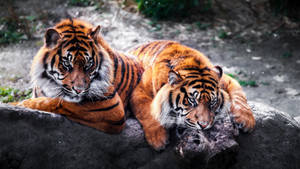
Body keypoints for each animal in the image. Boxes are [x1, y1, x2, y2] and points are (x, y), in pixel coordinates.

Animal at [12, 17, 142, 133]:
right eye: (67, 64)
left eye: (88, 65)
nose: (79, 90)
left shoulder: (111, 105)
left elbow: (57, 102)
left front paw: (19, 104)